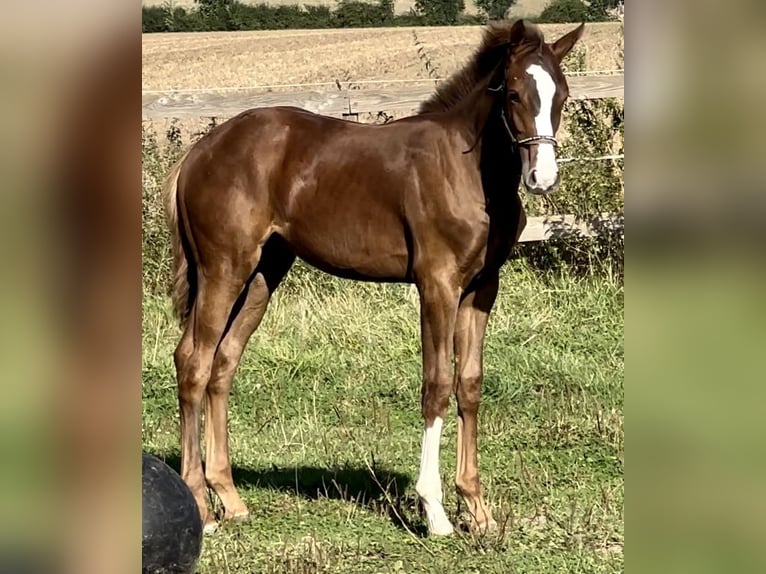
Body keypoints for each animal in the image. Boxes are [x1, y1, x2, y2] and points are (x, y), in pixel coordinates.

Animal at [162, 19, 584, 540]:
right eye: (514, 94)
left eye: (562, 94)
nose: (542, 178)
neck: (467, 168)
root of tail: (197, 152)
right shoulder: (437, 283)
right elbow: (437, 385)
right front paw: (436, 512)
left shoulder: (482, 289)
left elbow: (469, 385)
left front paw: (478, 510)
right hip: (224, 267)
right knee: (193, 362)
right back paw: (200, 507)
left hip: (264, 273)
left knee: (223, 364)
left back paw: (231, 499)